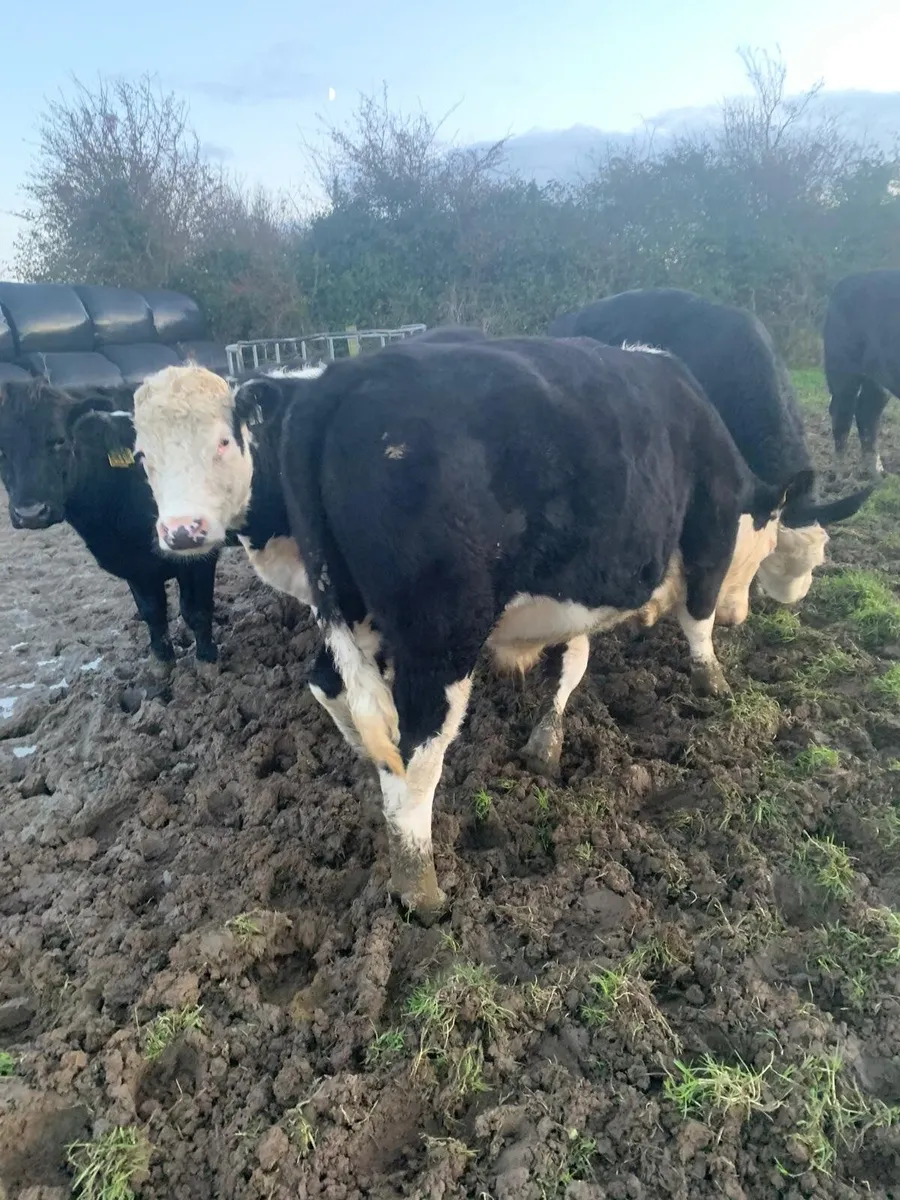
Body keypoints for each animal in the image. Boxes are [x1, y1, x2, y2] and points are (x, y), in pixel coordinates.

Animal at [0, 379, 220, 665]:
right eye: (1, 450)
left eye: (59, 440)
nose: (30, 513)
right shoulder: (134, 565)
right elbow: (153, 613)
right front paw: (162, 662)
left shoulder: (200, 555)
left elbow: (196, 611)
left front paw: (208, 660)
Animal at [131, 339, 819, 922]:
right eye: (143, 457)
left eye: (225, 441)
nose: (181, 531)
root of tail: (342, 380)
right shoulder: (708, 529)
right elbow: (694, 620)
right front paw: (713, 683)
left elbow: (575, 656)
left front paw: (548, 739)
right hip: (437, 636)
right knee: (413, 762)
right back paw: (422, 889)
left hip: (353, 612)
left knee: (335, 688)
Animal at [824, 269, 900, 478]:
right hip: (842, 368)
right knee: (842, 413)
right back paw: (840, 475)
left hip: (877, 379)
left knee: (866, 412)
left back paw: (877, 473)